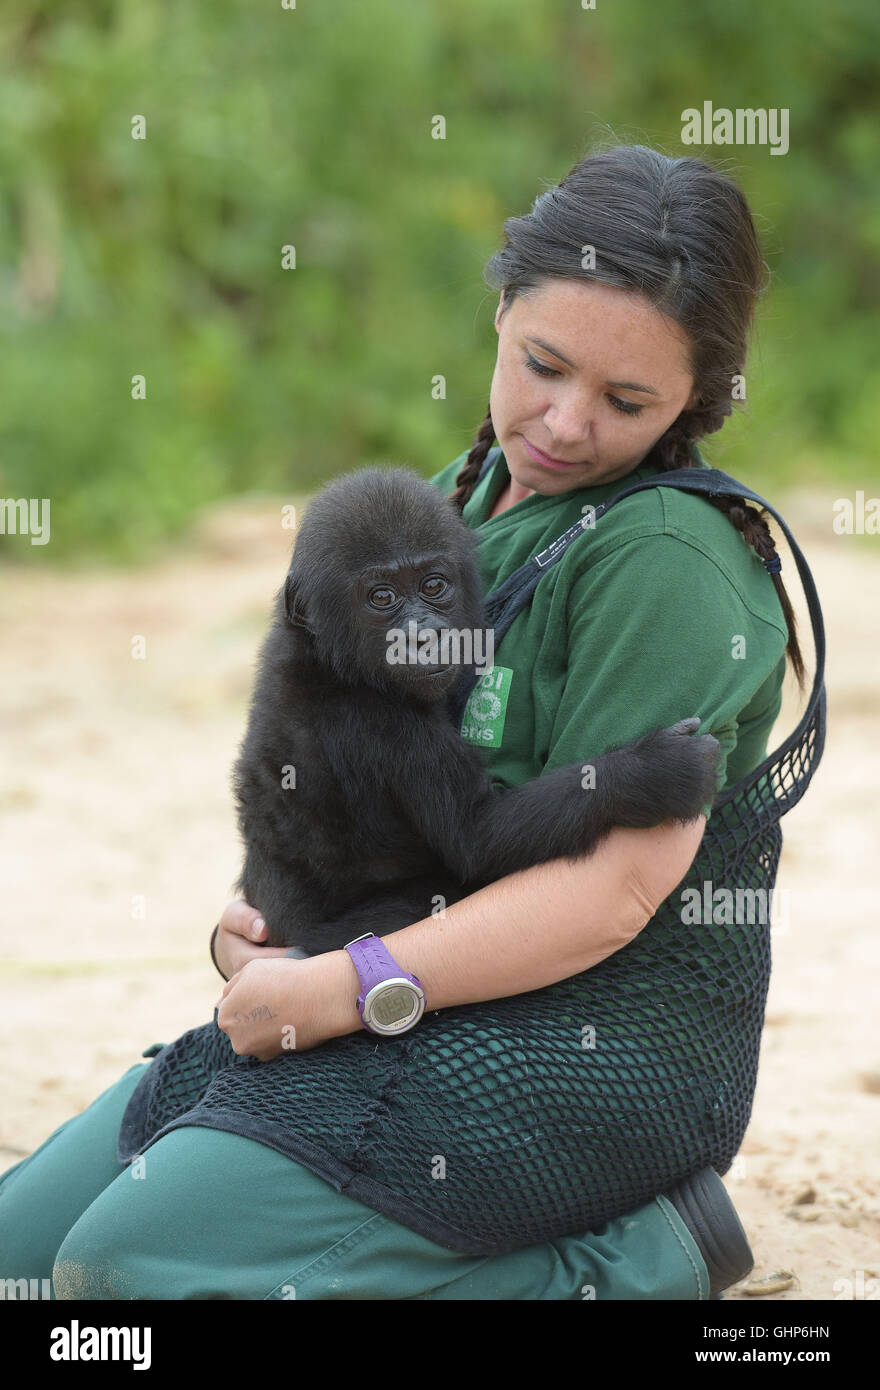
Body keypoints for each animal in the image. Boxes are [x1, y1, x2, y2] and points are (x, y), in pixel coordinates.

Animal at [232, 469, 711, 956]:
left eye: (432, 586)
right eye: (381, 597)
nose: (423, 636)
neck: (326, 658)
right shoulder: (378, 720)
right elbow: (477, 836)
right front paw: (653, 770)